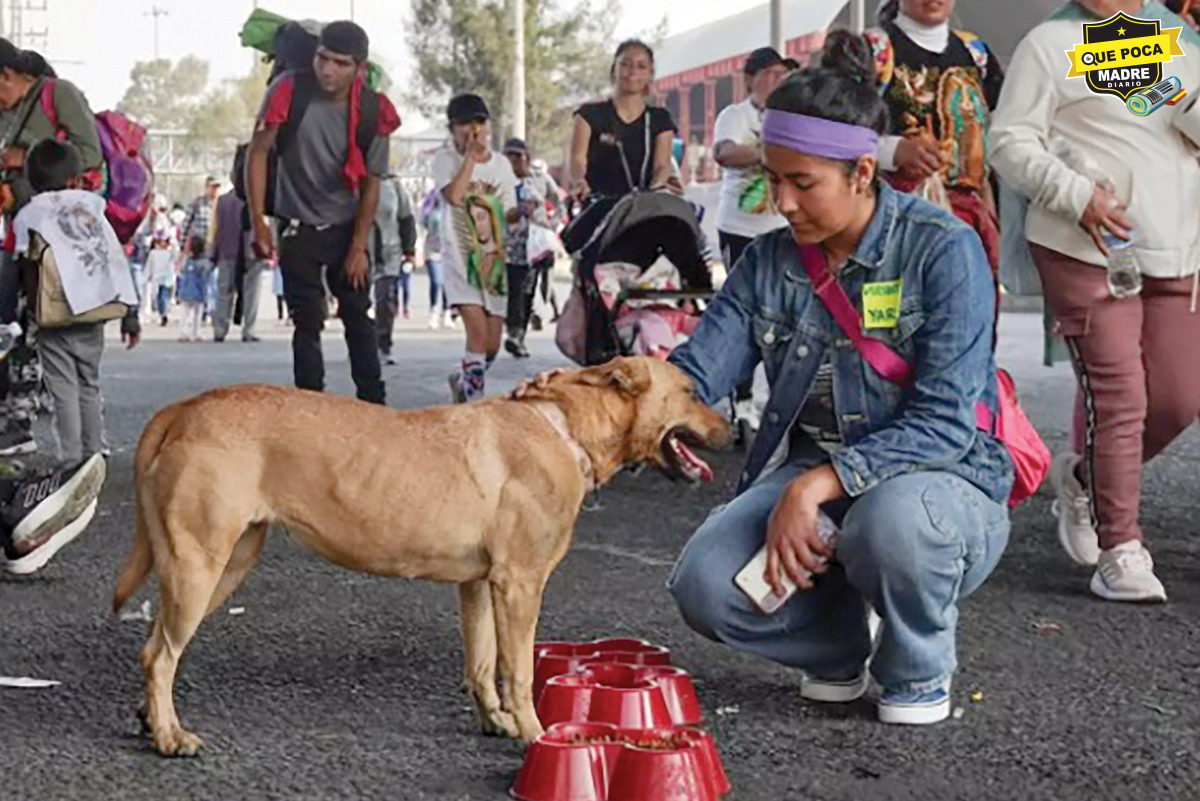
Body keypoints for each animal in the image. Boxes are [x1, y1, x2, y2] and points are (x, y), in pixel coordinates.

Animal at [114, 357, 729, 757]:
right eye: (691, 390)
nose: (730, 430)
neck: (567, 427)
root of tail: (184, 408)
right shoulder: (520, 585)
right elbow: (517, 670)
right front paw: (535, 733)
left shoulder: (480, 585)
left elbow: (480, 664)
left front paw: (495, 721)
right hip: (199, 565)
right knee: (159, 656)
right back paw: (170, 736)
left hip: (223, 565)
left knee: (153, 648)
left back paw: (150, 719)